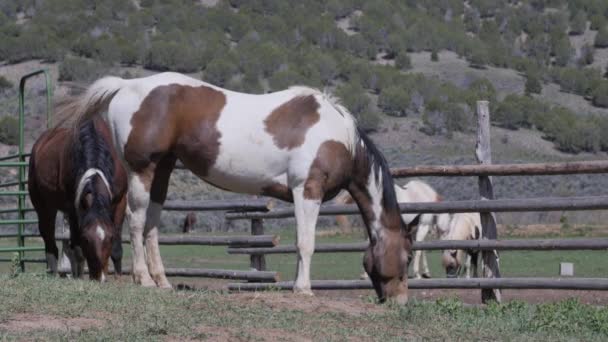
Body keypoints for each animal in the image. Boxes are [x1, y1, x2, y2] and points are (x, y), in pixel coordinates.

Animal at [27, 117, 127, 280]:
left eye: (110, 238)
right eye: (86, 238)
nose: (98, 276)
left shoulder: (120, 201)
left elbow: (117, 248)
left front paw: (118, 278)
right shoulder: (73, 206)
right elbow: (78, 248)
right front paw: (79, 277)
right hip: (44, 206)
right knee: (49, 237)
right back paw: (56, 272)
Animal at [61, 71, 416, 302]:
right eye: (409, 256)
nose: (400, 301)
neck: (336, 135)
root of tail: (126, 86)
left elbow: (301, 243)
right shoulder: (308, 190)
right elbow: (306, 243)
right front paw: (304, 289)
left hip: (162, 171)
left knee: (151, 226)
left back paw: (162, 281)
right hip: (142, 170)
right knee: (136, 223)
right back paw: (145, 280)